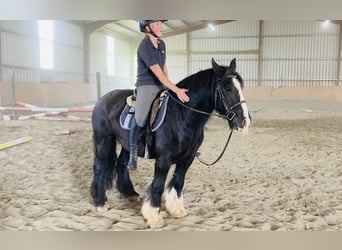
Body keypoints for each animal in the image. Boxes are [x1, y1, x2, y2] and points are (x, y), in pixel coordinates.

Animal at [90, 58, 251, 229]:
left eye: (241, 87)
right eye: (227, 88)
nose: (244, 121)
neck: (182, 115)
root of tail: (103, 99)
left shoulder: (187, 158)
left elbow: (178, 182)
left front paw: (176, 209)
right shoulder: (163, 159)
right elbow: (158, 185)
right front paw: (154, 216)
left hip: (126, 144)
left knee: (121, 164)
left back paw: (129, 193)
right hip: (103, 140)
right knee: (99, 167)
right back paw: (100, 202)